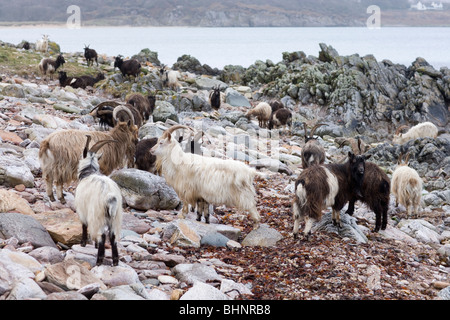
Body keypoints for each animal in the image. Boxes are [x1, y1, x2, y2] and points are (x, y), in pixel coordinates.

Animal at [74, 136, 123, 266]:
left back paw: (99, 260)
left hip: (98, 215)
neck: (88, 173)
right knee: (113, 237)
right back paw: (115, 261)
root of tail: (110, 197)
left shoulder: (82, 211)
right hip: (115, 218)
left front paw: (83, 243)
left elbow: (84, 226)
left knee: (102, 235)